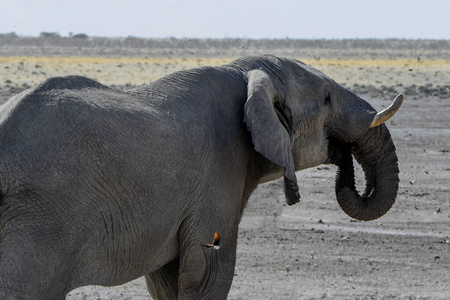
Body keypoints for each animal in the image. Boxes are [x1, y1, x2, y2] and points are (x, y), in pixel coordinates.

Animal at [0, 55, 400, 298]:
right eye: (328, 99)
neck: (247, 71)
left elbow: (168, 277)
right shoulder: (218, 173)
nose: (343, 164)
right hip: (41, 222)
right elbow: (208, 270)